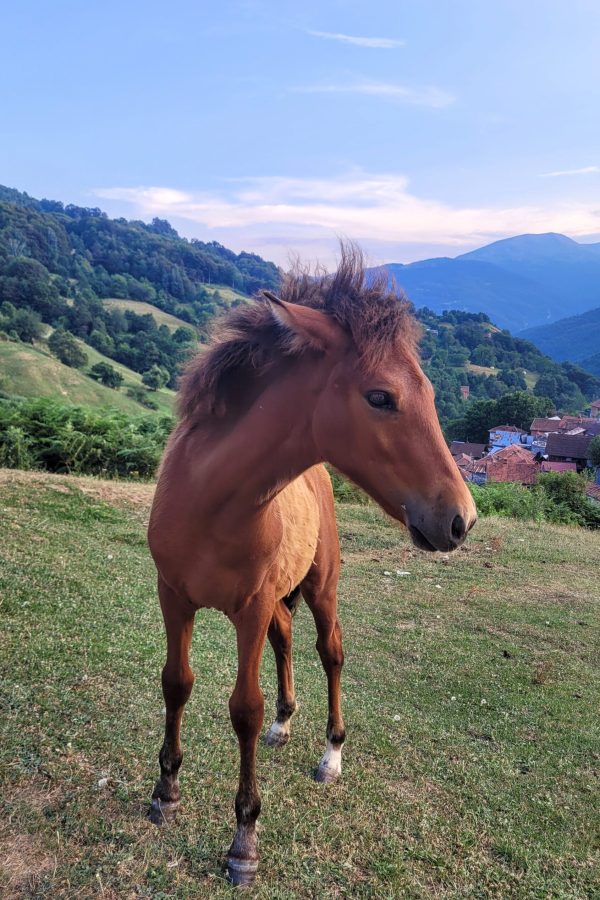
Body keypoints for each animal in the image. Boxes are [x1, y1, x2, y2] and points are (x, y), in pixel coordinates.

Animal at [148, 248, 476, 884]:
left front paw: (244, 841)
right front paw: (166, 792)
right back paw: (286, 722)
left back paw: (331, 753)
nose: (461, 519)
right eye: (380, 397)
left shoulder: (248, 610)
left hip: (321, 588)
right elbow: (178, 683)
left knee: (330, 651)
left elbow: (243, 710)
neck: (209, 499)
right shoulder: (173, 596)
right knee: (285, 639)